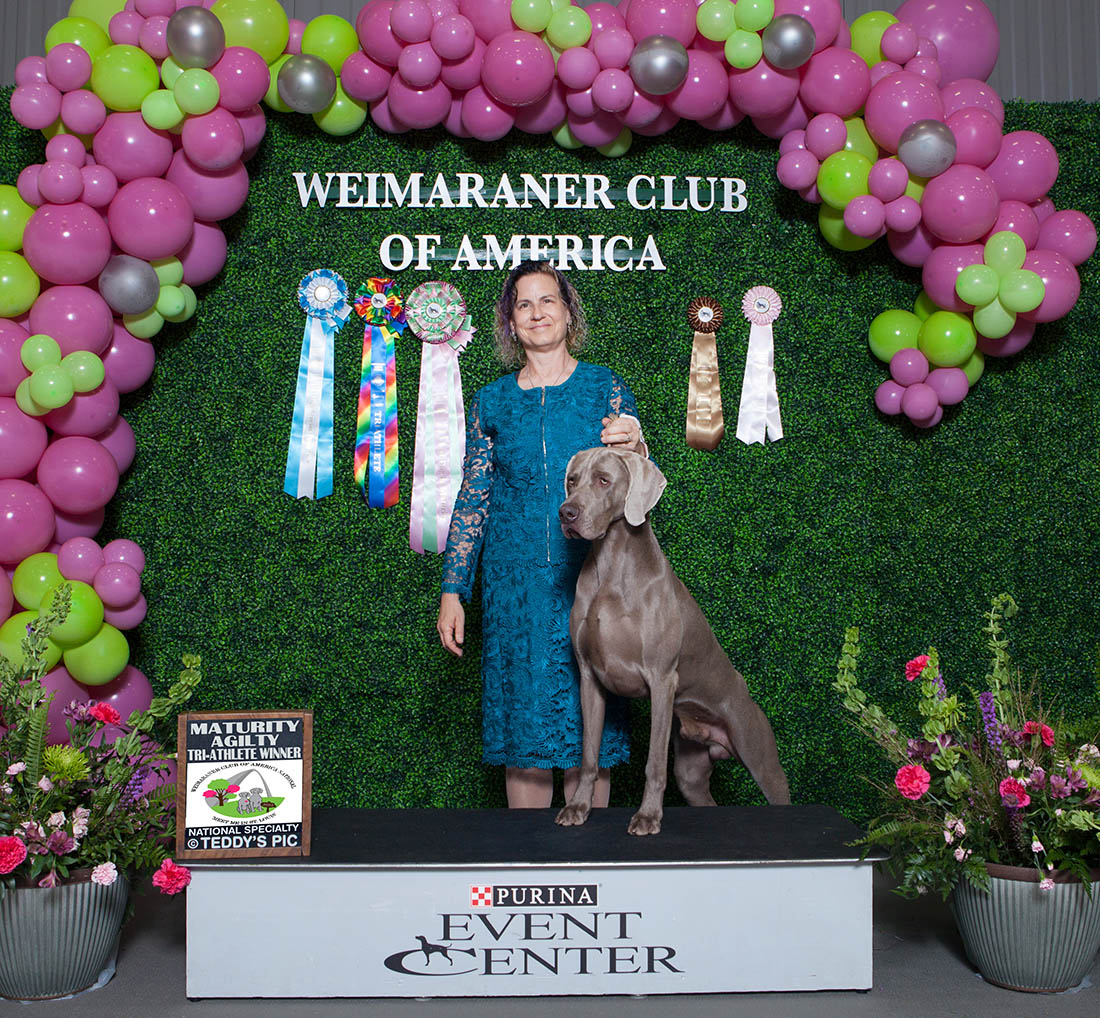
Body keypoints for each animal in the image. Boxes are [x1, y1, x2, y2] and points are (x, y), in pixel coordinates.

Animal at [555, 447, 790, 836]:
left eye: (604, 480)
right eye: (572, 481)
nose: (566, 513)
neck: (613, 568)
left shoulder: (662, 680)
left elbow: (653, 763)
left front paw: (648, 817)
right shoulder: (589, 678)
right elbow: (589, 756)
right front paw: (577, 807)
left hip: (758, 751)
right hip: (691, 769)